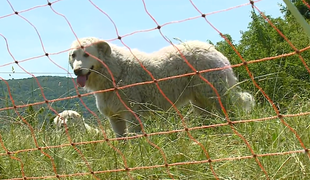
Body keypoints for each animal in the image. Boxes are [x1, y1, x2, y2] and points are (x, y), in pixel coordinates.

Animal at [68, 37, 254, 137]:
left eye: (87, 54)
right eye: (73, 55)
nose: (77, 71)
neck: (115, 71)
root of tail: (214, 50)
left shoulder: (132, 114)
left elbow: (134, 138)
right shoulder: (115, 117)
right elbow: (122, 142)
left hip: (217, 95)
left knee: (231, 113)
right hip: (201, 102)